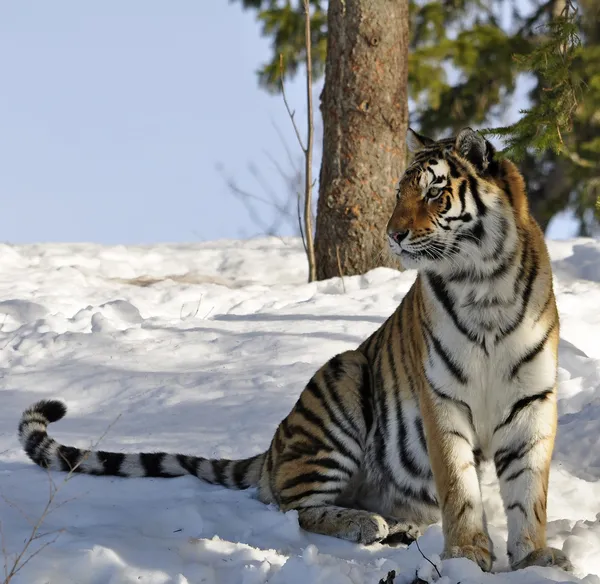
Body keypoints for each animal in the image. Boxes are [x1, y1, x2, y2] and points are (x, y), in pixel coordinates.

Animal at [17, 126, 572, 572]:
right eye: (399, 192)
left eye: (436, 192)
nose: (392, 234)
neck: (484, 285)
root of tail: (270, 451)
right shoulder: (443, 400)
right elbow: (460, 488)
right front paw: (468, 557)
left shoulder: (530, 400)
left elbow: (529, 492)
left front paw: (534, 558)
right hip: (341, 384)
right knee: (293, 506)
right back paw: (367, 524)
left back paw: (398, 527)